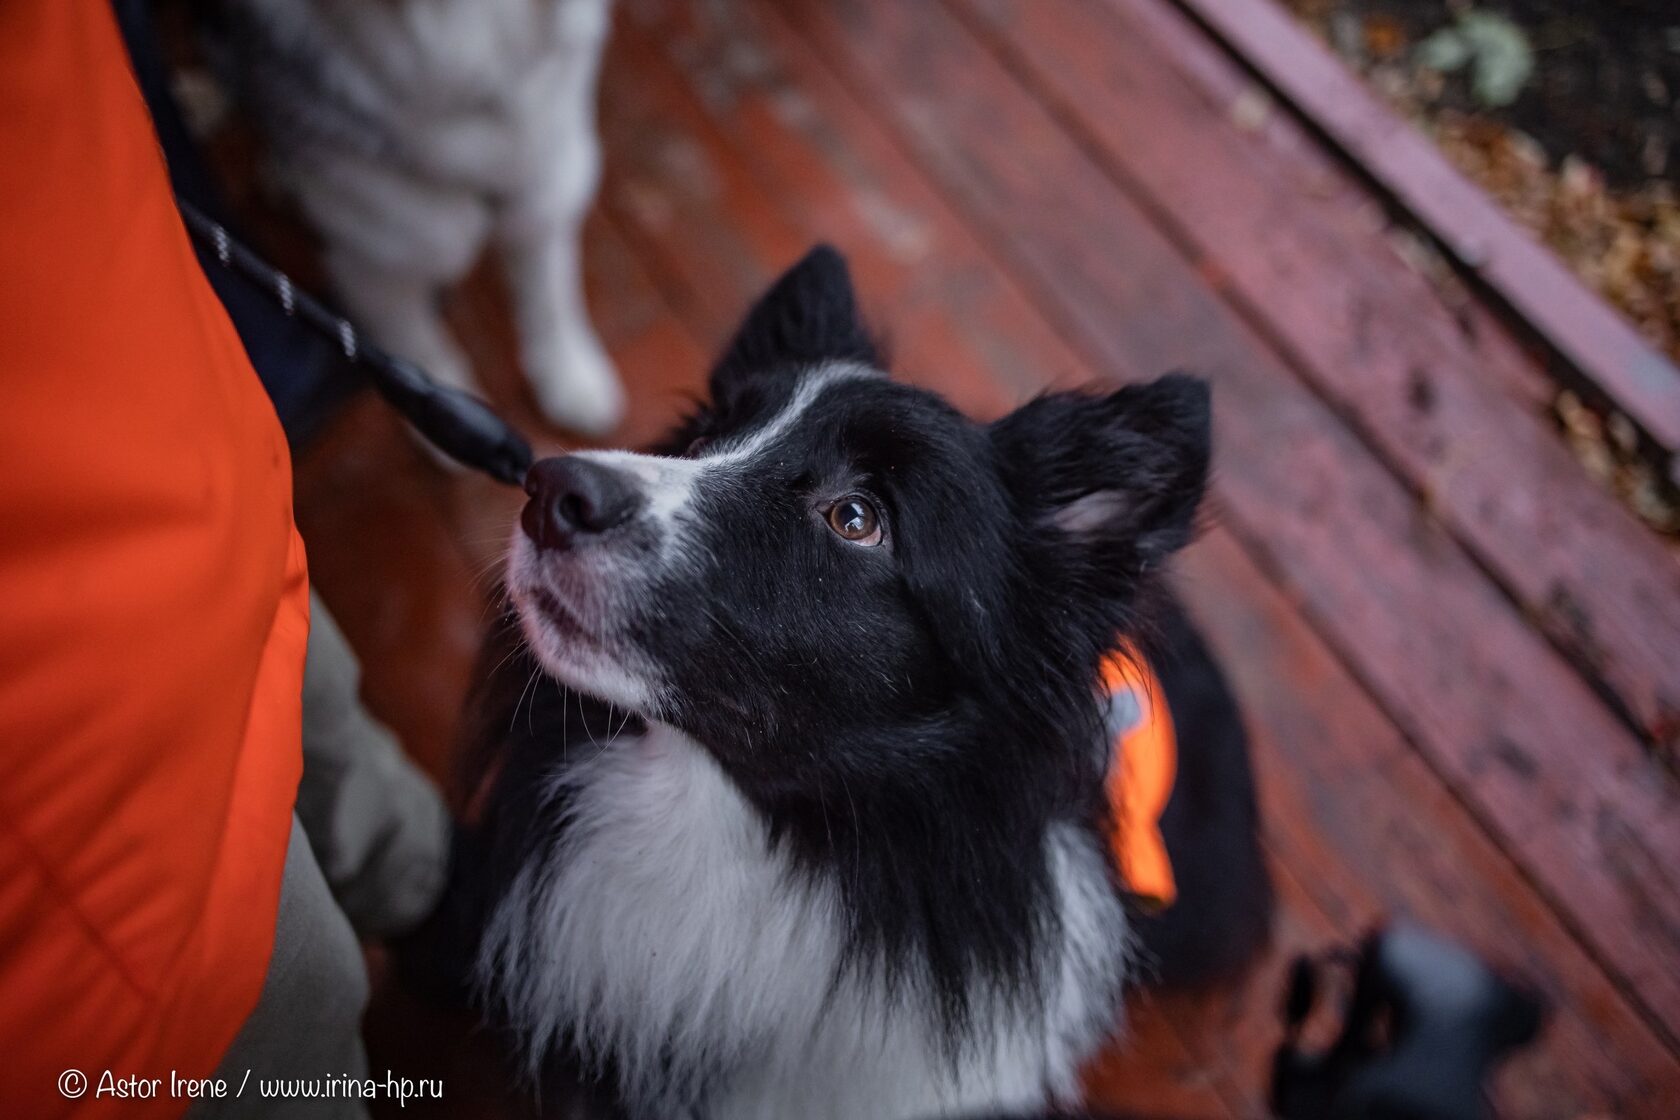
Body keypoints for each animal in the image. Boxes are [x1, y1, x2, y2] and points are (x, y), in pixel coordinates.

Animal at [206, 0, 625, 435]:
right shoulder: (375, 264)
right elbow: (417, 344)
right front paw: (442, 423)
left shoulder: (545, 189)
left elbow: (552, 296)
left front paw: (569, 375)